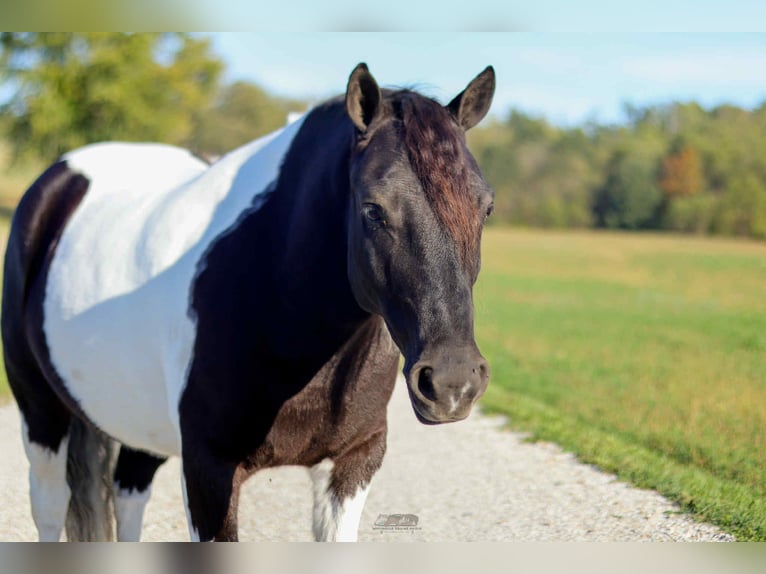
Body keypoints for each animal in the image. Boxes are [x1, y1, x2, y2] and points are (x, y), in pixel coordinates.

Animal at [1, 63, 496, 542]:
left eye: (486, 207)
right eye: (372, 208)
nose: (452, 382)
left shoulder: (354, 462)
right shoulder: (208, 471)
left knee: (128, 497)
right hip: (41, 413)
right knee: (50, 507)